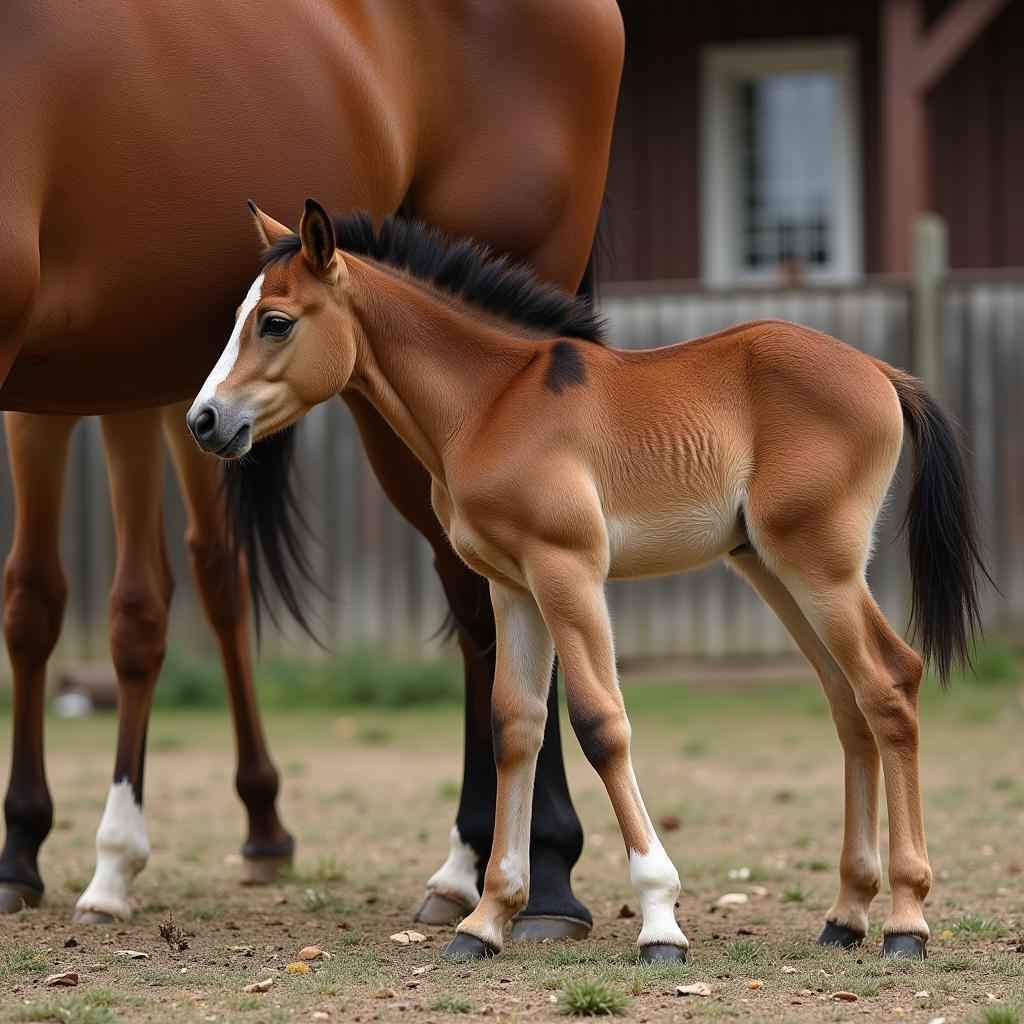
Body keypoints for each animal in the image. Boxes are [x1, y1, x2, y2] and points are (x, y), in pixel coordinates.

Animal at [0, 0, 622, 933]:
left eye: (276, 321)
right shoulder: (59, 390)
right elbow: (33, 602)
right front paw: (21, 850)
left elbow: (136, 611)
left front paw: (110, 862)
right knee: (475, 611)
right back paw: (463, 869)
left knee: (504, 611)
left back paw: (542, 877)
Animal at [188, 203, 987, 962]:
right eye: (235, 319)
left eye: (276, 321)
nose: (204, 420)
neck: (491, 402)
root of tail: (880, 372)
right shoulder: (513, 587)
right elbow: (514, 727)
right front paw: (487, 919)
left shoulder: (566, 569)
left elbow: (600, 724)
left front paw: (660, 919)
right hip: (774, 570)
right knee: (848, 702)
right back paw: (846, 914)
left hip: (821, 567)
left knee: (889, 682)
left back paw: (906, 920)